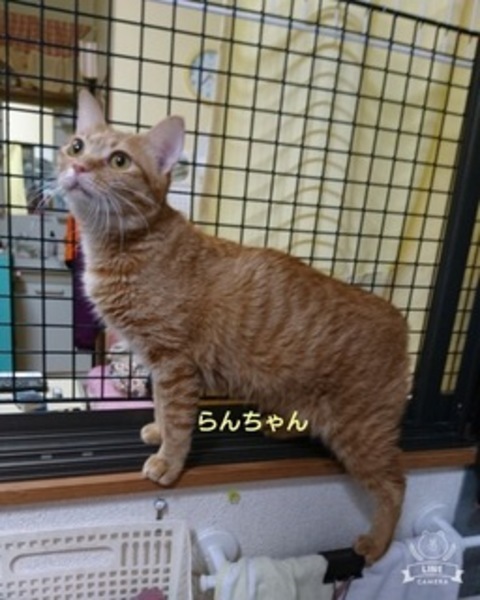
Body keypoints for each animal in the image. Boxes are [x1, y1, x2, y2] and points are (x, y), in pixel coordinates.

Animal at [58, 90, 410, 564]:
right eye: (76, 146)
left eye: (118, 160)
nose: (78, 167)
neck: (127, 244)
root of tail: (398, 317)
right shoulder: (157, 363)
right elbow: (161, 408)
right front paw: (158, 431)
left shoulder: (174, 364)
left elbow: (178, 420)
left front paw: (169, 459)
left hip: (362, 432)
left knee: (394, 485)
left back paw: (377, 541)